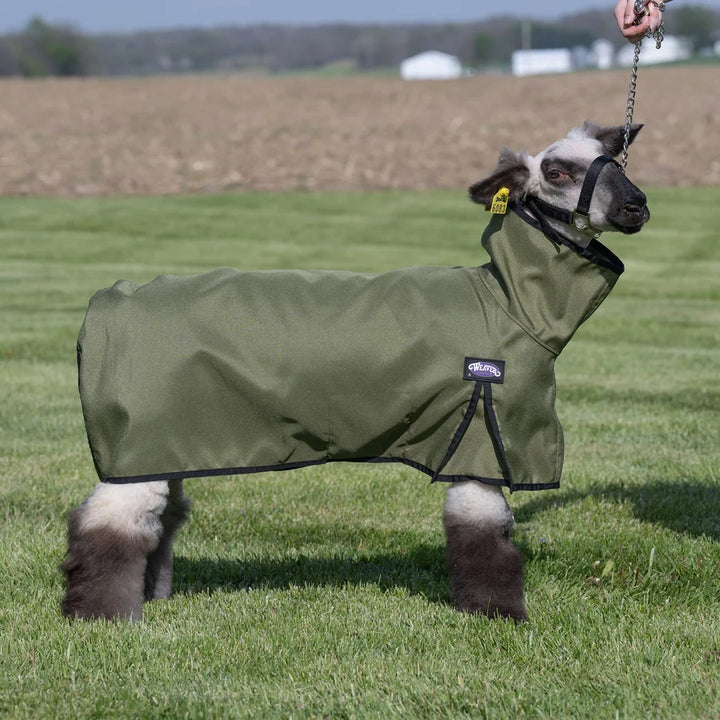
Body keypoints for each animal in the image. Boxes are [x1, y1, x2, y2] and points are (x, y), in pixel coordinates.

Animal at [62, 121, 649, 622]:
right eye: (556, 172)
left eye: (614, 158)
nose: (636, 205)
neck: (512, 305)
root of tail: (104, 305)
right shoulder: (482, 438)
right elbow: (485, 538)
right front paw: (498, 615)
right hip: (138, 440)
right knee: (109, 523)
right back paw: (101, 615)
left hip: (169, 440)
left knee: (161, 521)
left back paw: (151, 596)